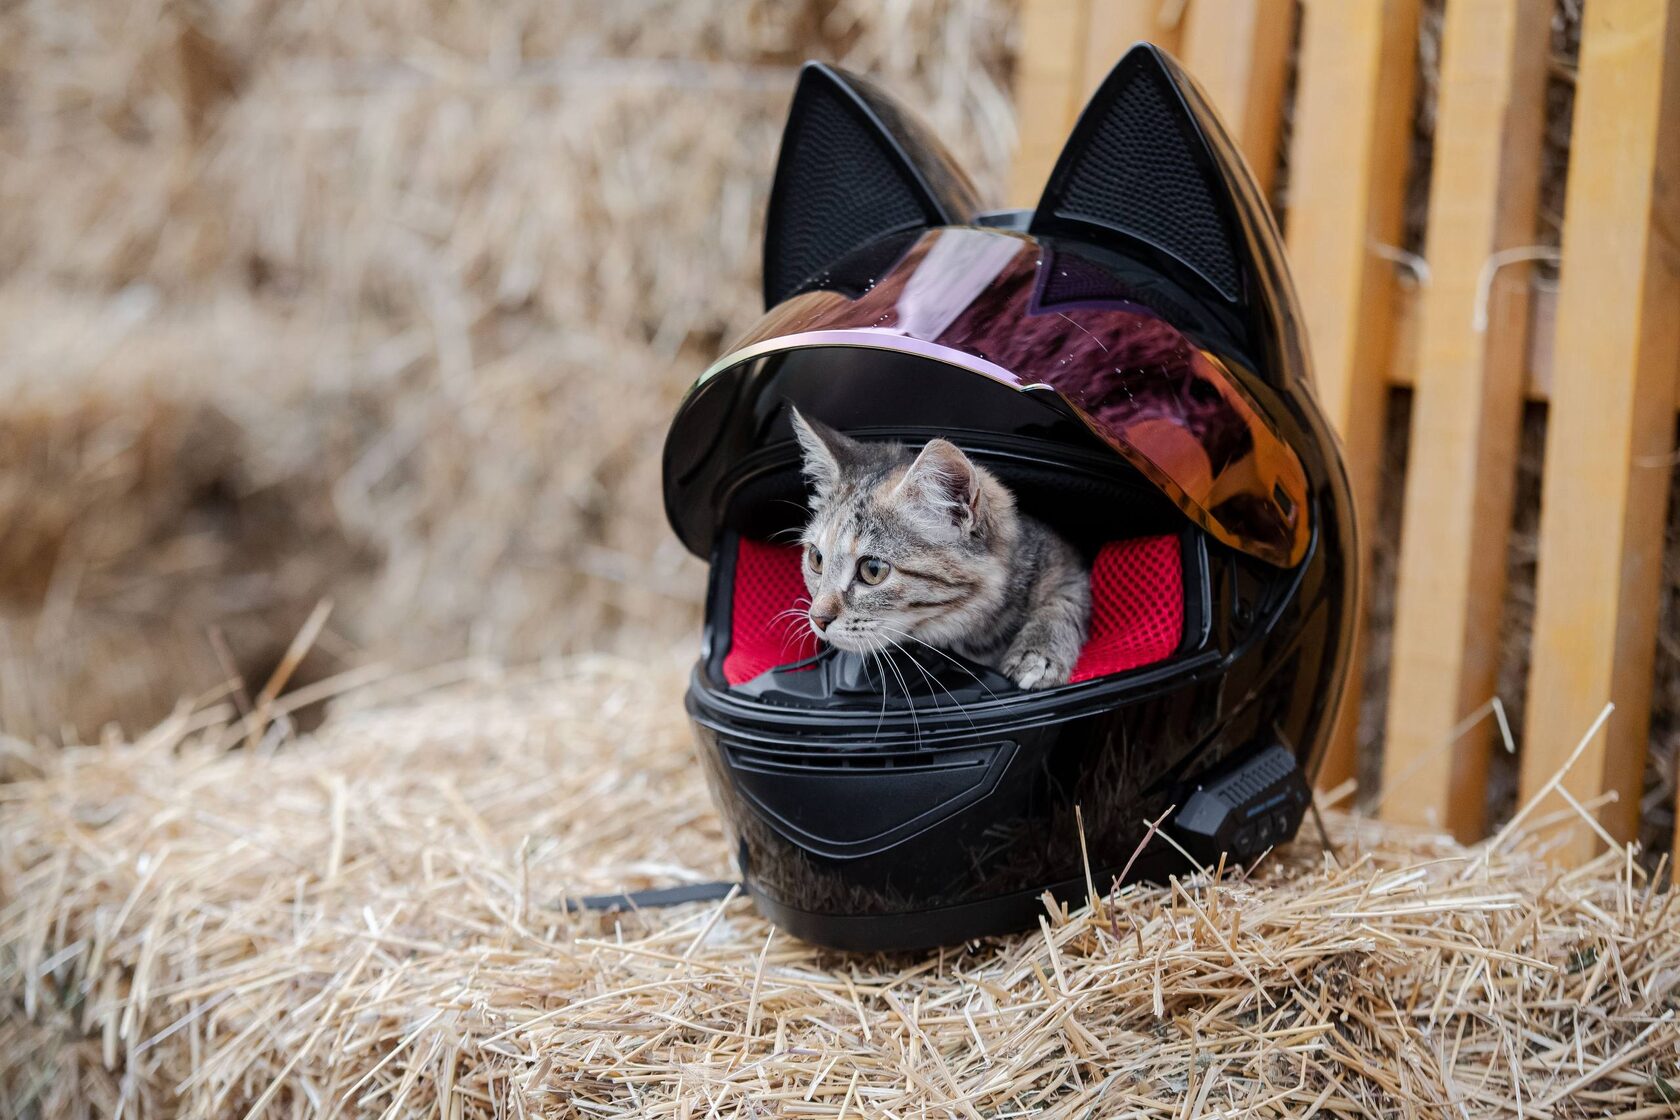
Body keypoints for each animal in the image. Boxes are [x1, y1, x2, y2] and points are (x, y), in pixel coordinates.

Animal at [790, 408, 1091, 690]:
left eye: (872, 570)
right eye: (816, 559)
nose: (817, 619)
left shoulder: (1068, 564)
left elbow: (1063, 601)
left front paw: (1037, 653)